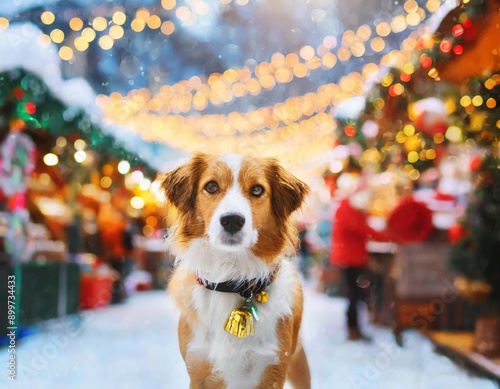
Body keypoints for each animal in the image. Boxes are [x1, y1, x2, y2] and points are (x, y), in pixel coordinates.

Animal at [162, 152, 310, 388]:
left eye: (257, 189)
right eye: (211, 186)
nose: (232, 220)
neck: (232, 274)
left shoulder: (273, 369)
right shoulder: (198, 367)